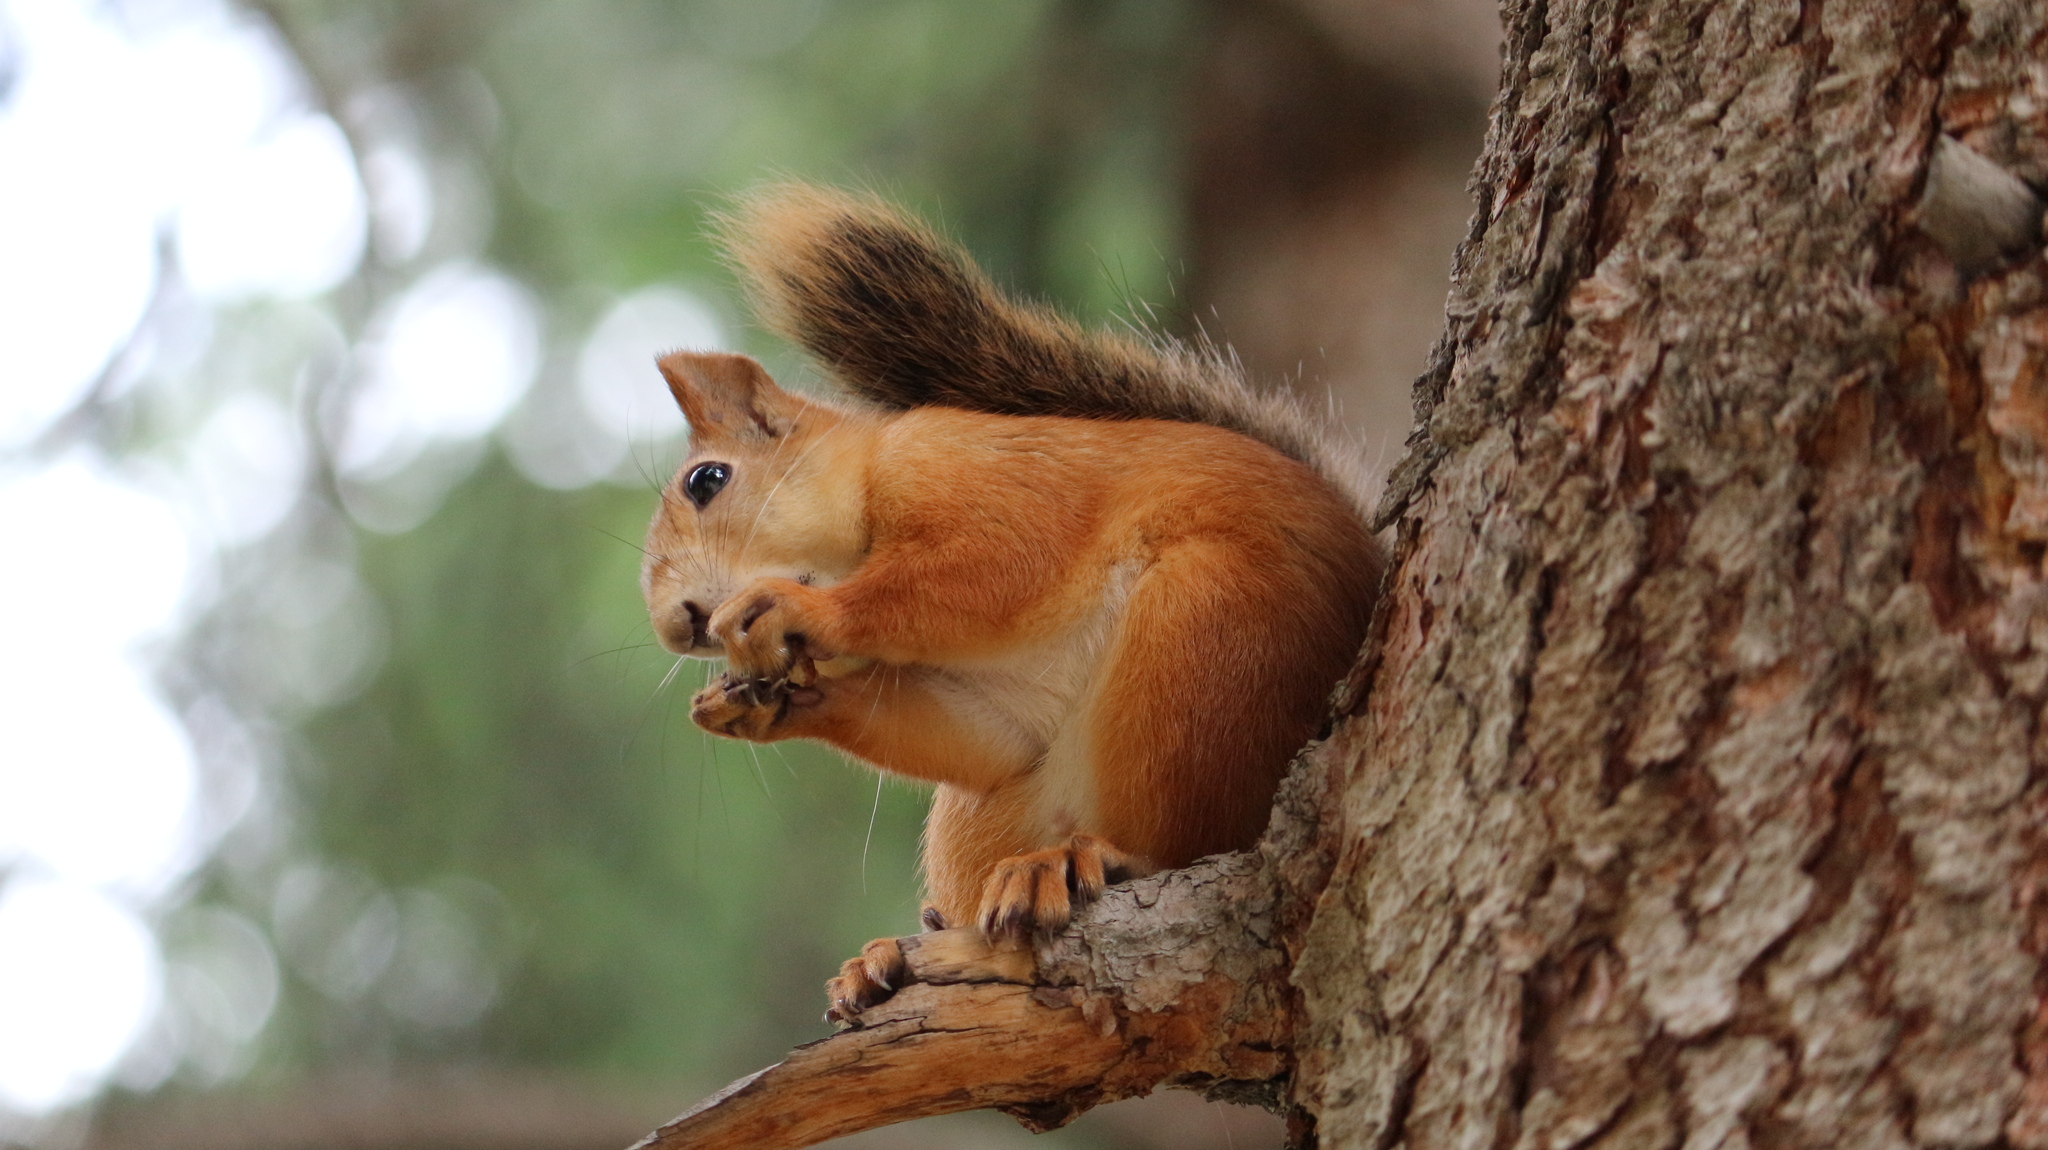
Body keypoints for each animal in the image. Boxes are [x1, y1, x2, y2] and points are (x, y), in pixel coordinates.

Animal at [638, 186, 1384, 1019]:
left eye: (708, 480)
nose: (677, 626)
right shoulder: (986, 703)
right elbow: (986, 739)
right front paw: (769, 705)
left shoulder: (989, 484)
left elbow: (985, 570)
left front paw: (797, 611)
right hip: (986, 814)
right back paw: (890, 955)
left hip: (1200, 637)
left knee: (1188, 842)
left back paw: (1075, 865)